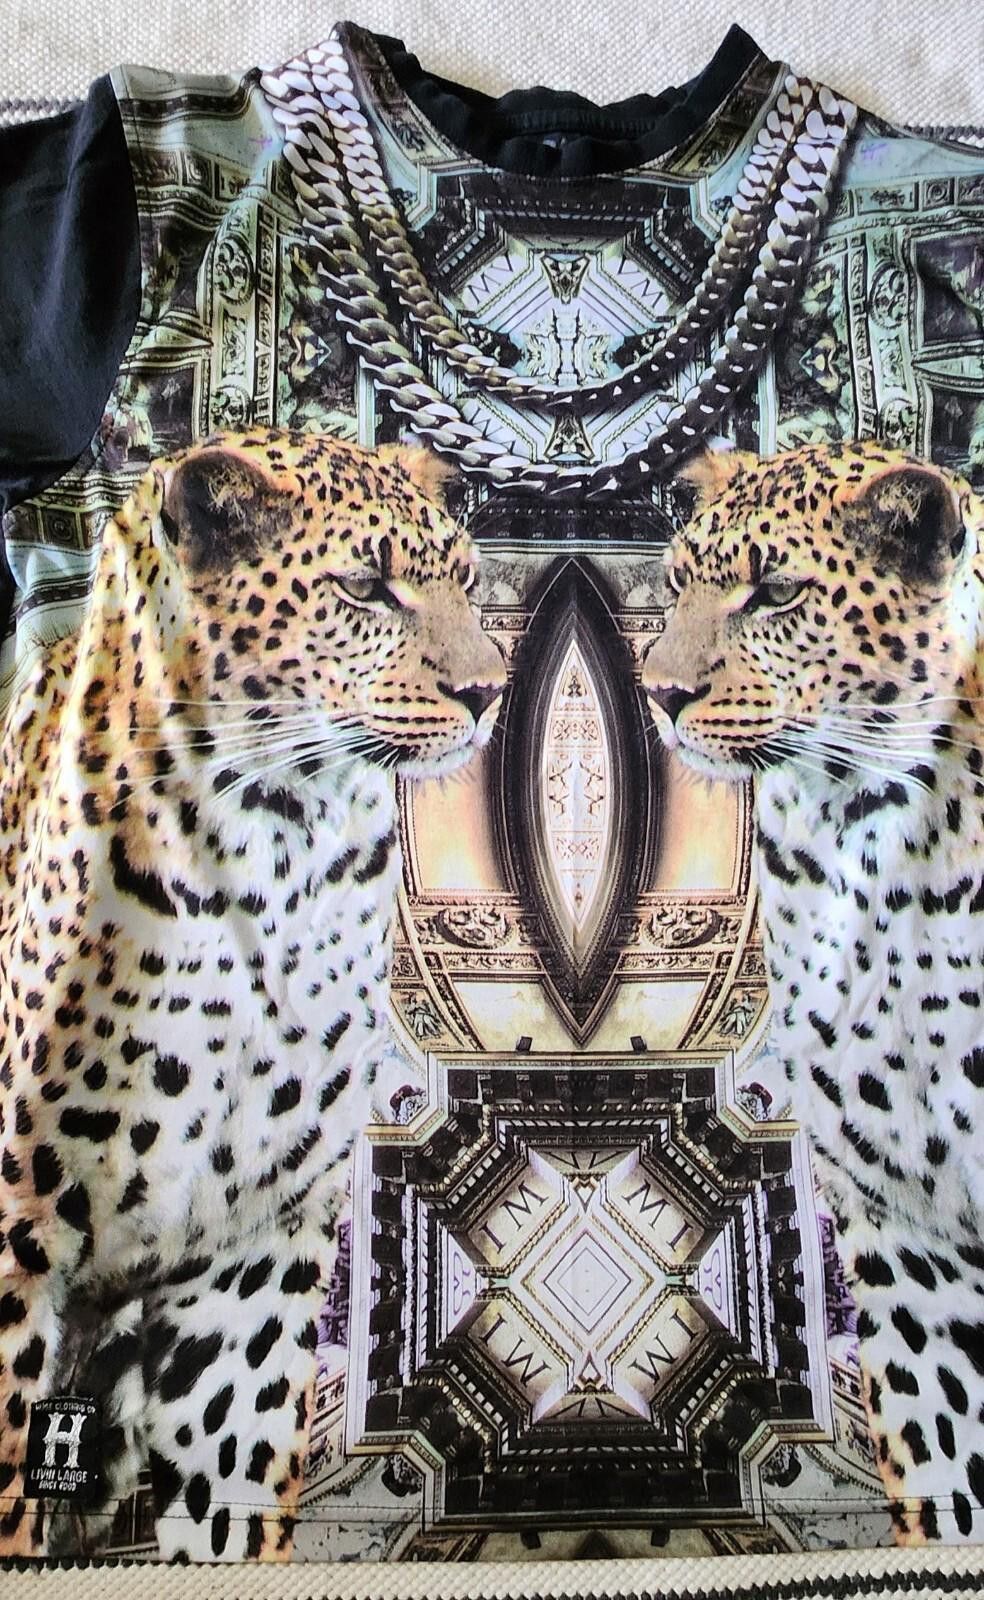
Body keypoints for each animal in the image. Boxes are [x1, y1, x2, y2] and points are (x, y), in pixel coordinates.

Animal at [0, 425, 506, 1561]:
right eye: (365, 588)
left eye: (463, 580)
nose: (488, 691)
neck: (280, 856)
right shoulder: (17, 1233)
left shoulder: (250, 1253)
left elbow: (227, 1493)